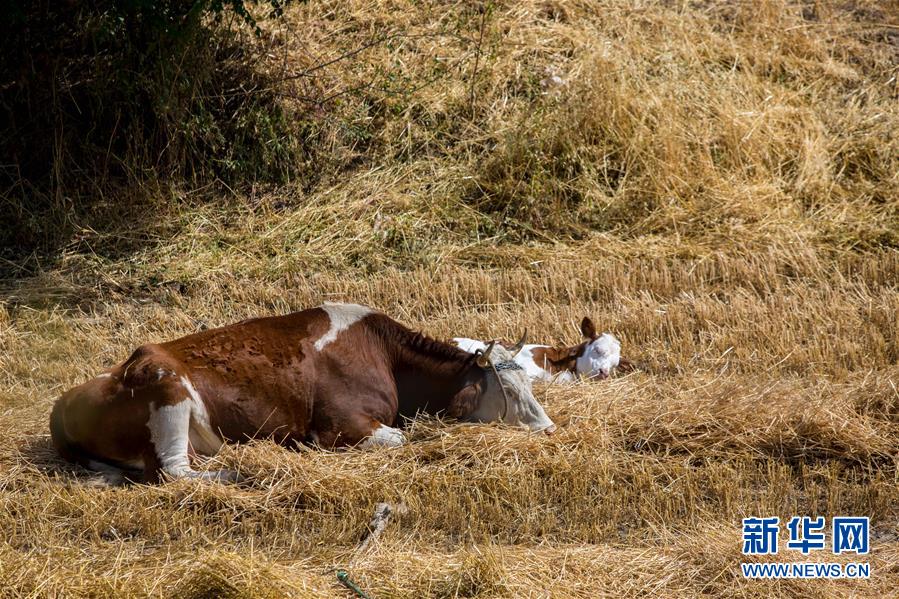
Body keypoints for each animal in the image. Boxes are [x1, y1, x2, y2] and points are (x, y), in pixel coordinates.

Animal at [51, 304, 556, 482]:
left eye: (528, 382)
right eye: (509, 391)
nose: (550, 428)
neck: (386, 357)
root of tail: (64, 402)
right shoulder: (340, 426)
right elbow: (402, 438)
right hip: (166, 388)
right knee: (174, 471)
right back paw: (243, 475)